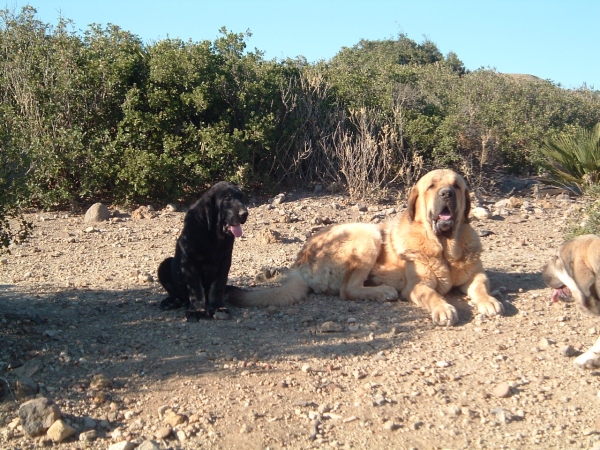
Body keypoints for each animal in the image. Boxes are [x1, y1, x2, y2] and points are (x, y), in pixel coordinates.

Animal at [157, 181, 248, 322]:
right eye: (227, 199)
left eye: (242, 198)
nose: (245, 213)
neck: (213, 235)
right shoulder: (190, 261)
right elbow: (196, 288)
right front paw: (197, 310)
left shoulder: (225, 260)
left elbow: (217, 286)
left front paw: (218, 307)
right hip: (164, 264)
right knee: (179, 294)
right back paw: (171, 302)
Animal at [227, 169, 504, 324]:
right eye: (432, 186)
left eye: (456, 186)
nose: (447, 193)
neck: (445, 248)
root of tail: (299, 263)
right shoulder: (418, 286)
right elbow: (433, 295)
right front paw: (444, 308)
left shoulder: (475, 275)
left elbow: (480, 285)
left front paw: (488, 301)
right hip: (368, 234)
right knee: (348, 290)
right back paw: (381, 291)